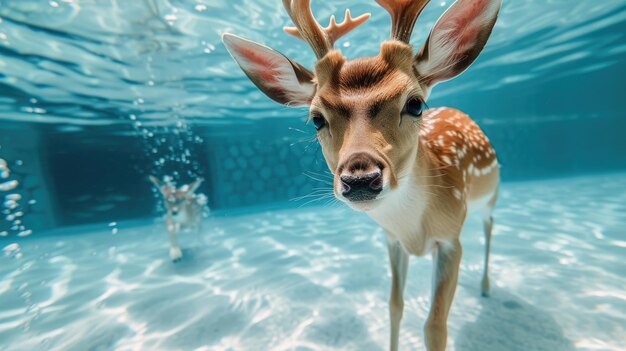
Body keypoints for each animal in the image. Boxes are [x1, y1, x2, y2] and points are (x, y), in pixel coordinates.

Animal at [222, 0, 500, 350]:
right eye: (316, 118)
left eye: (415, 104)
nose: (360, 179)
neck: (413, 229)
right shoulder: (392, 240)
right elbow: (394, 306)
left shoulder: (451, 239)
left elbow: (435, 327)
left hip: (491, 194)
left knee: (490, 225)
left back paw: (486, 287)